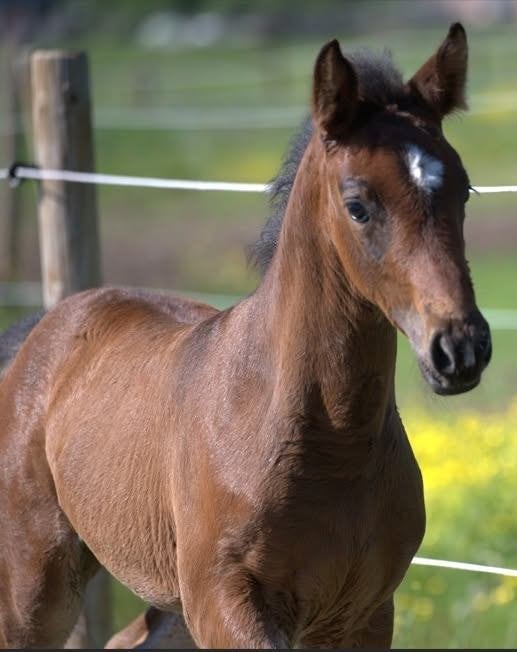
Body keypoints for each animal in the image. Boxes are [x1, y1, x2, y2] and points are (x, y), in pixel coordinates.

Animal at [0, 23, 491, 649]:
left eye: (465, 191)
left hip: (170, 600)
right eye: (358, 206)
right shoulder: (228, 605)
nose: (459, 347)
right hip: (37, 580)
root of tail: (43, 328)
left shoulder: (365, 613)